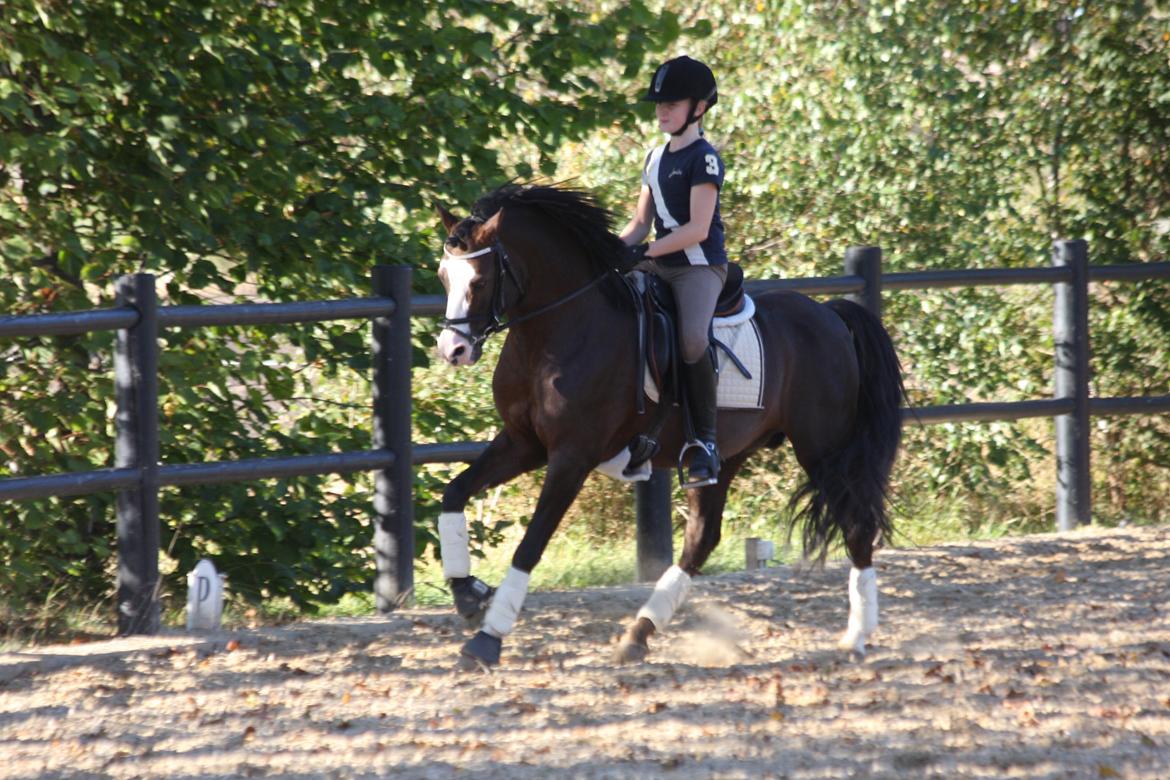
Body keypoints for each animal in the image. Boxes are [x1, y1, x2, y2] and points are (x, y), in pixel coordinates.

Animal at [435, 183, 898, 673]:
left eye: (479, 281)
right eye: (444, 278)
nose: (453, 350)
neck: (559, 330)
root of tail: (829, 315)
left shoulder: (571, 456)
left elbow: (530, 544)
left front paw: (488, 637)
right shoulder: (524, 443)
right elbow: (454, 492)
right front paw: (468, 594)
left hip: (823, 449)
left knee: (856, 525)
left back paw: (856, 636)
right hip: (724, 457)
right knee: (702, 539)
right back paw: (638, 635)